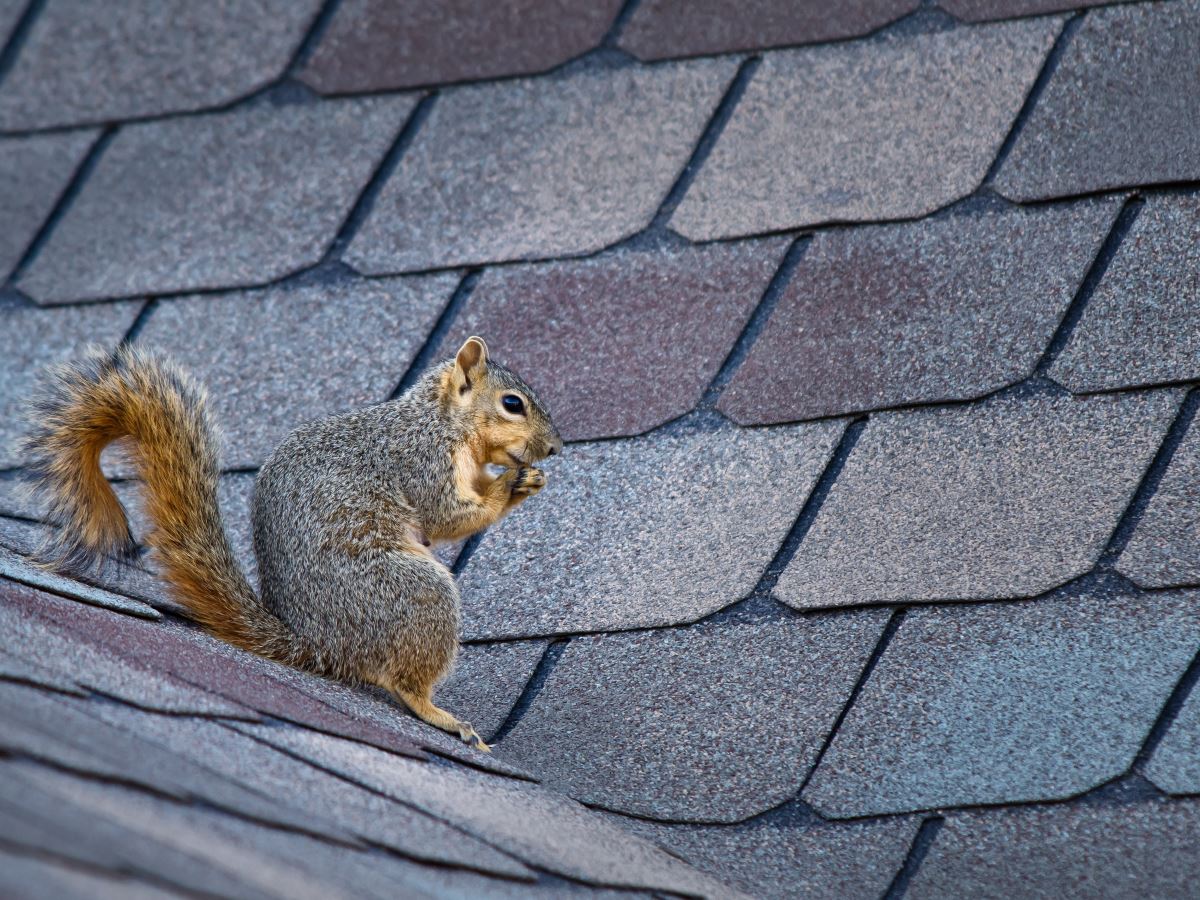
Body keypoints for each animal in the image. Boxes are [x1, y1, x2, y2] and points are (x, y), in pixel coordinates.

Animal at [19, 336, 561, 748]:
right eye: (512, 404)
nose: (556, 448)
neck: (441, 420)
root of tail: (318, 645)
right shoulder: (419, 461)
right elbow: (447, 514)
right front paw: (510, 487)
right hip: (413, 591)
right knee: (404, 681)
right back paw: (439, 714)